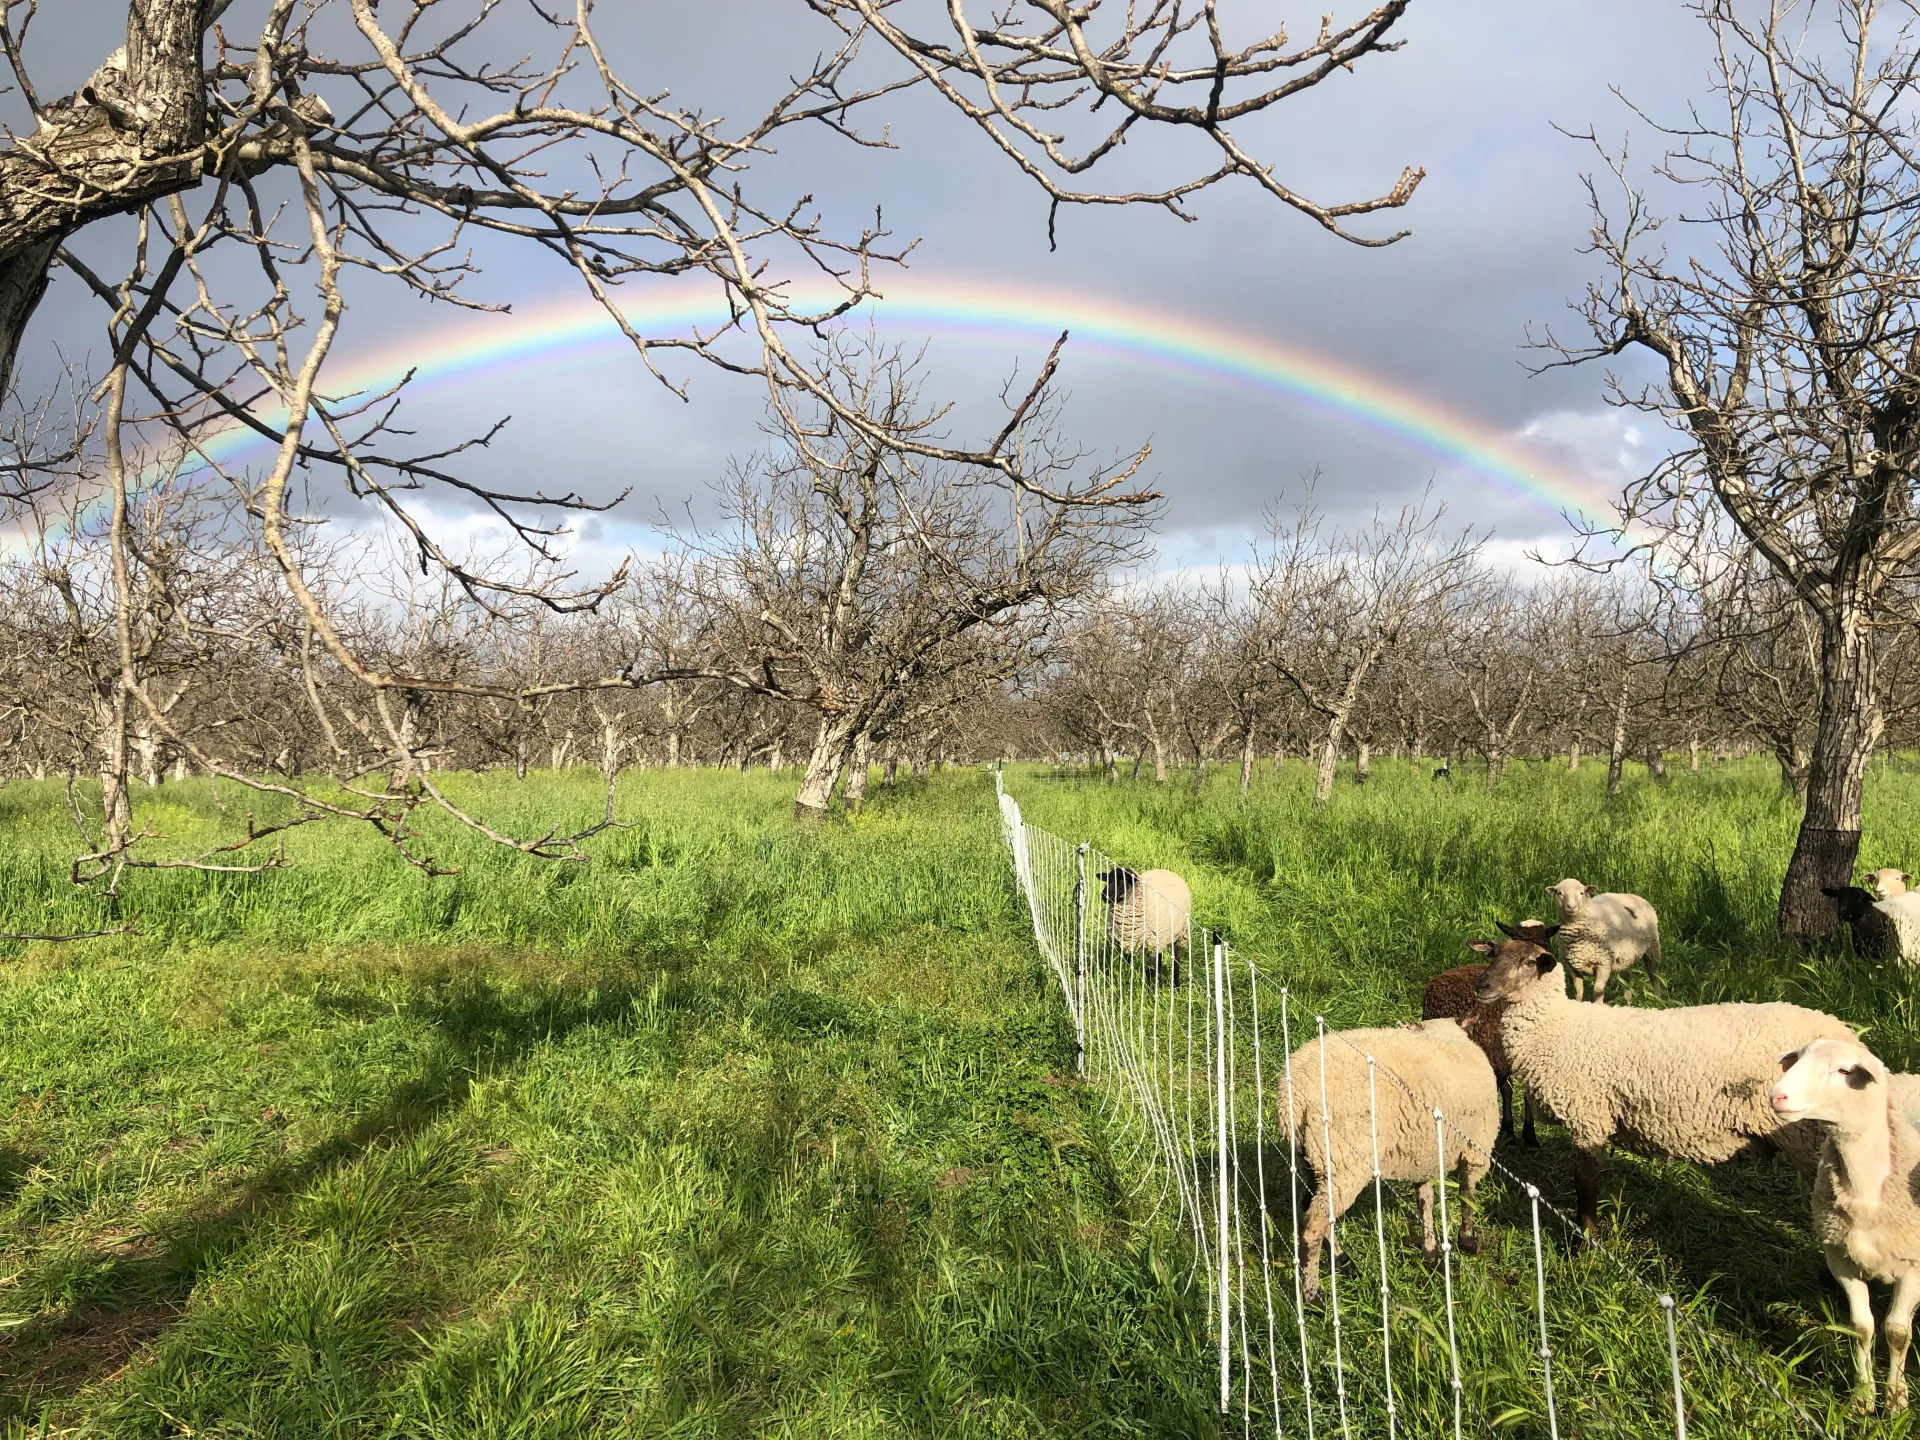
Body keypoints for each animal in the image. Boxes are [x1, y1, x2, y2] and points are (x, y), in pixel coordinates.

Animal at [1281, 1017, 1499, 1301]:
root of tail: (1293, 1097)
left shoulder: (1423, 1155)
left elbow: (1425, 1201)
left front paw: (1430, 1252)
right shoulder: (1477, 1148)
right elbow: (1467, 1195)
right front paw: (1467, 1240)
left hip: (1313, 1161)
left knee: (1312, 1207)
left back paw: (1342, 1261)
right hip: (1344, 1162)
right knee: (1313, 1225)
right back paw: (1313, 1295)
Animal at [1474, 923, 1854, 1233]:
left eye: (1528, 963)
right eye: (1494, 954)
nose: (1482, 985)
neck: (1556, 1028)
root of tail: (1850, 1037)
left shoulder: (1589, 1118)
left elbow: (1585, 1186)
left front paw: (1585, 1243)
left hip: (1809, 1139)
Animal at [1768, 1038, 1920, 1413]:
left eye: (1844, 1070)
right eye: (1797, 1059)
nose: (1776, 1095)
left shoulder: (1914, 1267)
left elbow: (1898, 1332)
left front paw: (1895, 1400)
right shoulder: (1841, 1260)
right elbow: (1861, 1327)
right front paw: (1862, 1399)